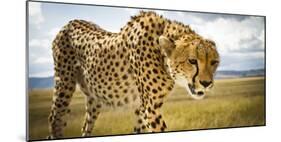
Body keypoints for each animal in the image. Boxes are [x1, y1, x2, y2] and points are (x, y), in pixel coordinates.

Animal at [47, 11, 219, 139]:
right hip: (64, 85)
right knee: (55, 119)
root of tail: (70, 22)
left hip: (94, 98)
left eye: (214, 62)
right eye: (192, 61)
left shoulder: (141, 109)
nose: (206, 83)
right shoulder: (151, 107)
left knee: (85, 125)